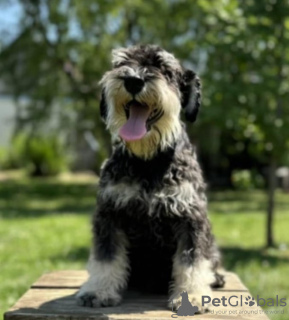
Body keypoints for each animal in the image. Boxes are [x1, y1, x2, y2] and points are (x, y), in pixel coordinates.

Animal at [75, 43, 224, 312]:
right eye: (121, 63)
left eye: (164, 69)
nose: (133, 80)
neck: (148, 161)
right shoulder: (109, 214)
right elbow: (106, 256)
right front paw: (98, 290)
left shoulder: (191, 218)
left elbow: (192, 260)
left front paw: (193, 295)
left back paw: (215, 277)